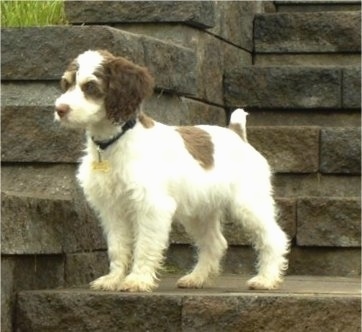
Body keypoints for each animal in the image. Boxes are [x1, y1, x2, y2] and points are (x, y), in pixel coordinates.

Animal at [54, 50, 288, 294]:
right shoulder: (112, 209)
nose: (59, 110)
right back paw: (197, 278)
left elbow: (144, 245)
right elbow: (117, 247)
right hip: (199, 210)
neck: (114, 142)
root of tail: (236, 133)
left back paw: (266, 279)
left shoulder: (152, 206)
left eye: (90, 86)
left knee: (273, 237)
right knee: (214, 243)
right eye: (66, 84)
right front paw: (113, 279)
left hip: (249, 203)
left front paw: (137, 279)